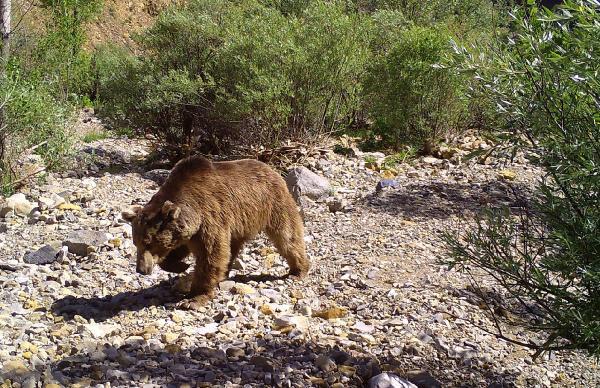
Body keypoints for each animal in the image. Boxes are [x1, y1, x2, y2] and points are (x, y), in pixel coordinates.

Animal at [122, 156, 310, 310]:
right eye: (135, 242)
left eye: (148, 242)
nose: (141, 270)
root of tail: (272, 170)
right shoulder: (188, 232)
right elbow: (179, 249)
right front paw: (181, 266)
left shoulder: (209, 218)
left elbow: (211, 255)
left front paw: (193, 298)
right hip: (240, 225)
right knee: (232, 249)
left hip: (272, 204)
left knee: (287, 236)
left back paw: (298, 271)